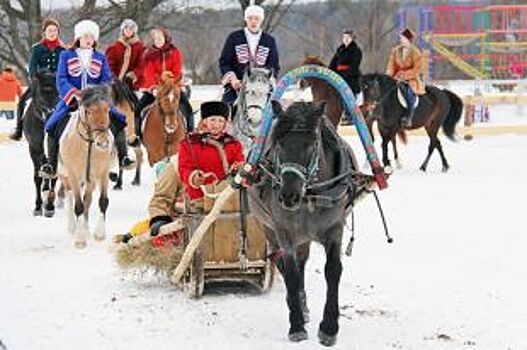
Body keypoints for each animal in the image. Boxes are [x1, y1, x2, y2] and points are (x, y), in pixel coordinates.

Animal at [14, 70, 59, 217]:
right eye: (40, 94)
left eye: (57, 93)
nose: (50, 115)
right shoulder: (34, 148)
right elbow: (37, 177)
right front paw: (38, 206)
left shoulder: (56, 147)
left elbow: (54, 175)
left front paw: (50, 207)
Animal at [59, 86, 113, 247]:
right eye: (88, 111)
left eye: (107, 109)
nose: (103, 143)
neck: (89, 143)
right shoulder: (73, 175)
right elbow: (78, 205)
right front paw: (80, 239)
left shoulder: (103, 172)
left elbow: (102, 201)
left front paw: (99, 234)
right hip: (65, 176)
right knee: (69, 195)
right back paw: (73, 227)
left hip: (91, 180)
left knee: (87, 200)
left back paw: (85, 227)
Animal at [249, 100, 368, 344]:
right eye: (278, 144)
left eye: (313, 144)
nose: (289, 195)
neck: (309, 196)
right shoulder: (285, 232)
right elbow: (291, 273)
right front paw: (296, 324)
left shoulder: (335, 229)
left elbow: (333, 270)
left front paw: (329, 327)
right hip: (269, 229)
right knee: (283, 263)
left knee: (301, 262)